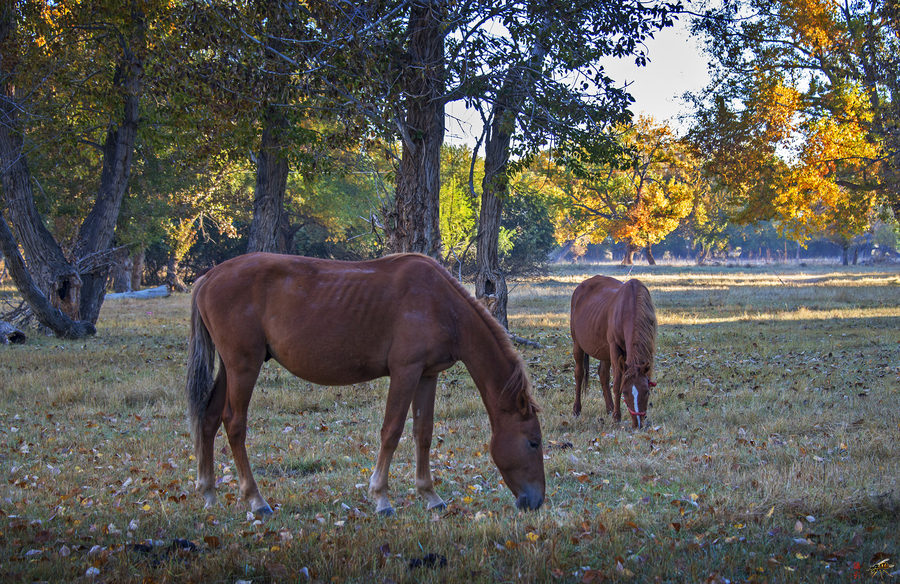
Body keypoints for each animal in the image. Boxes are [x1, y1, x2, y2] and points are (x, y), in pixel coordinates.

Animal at [572, 274, 656, 428]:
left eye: (646, 391)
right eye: (625, 392)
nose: (638, 424)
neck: (630, 308)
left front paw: (614, 413)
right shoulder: (614, 348)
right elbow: (617, 382)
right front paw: (617, 417)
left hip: (604, 352)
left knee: (603, 375)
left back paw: (609, 408)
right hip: (578, 345)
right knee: (579, 373)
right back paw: (577, 409)